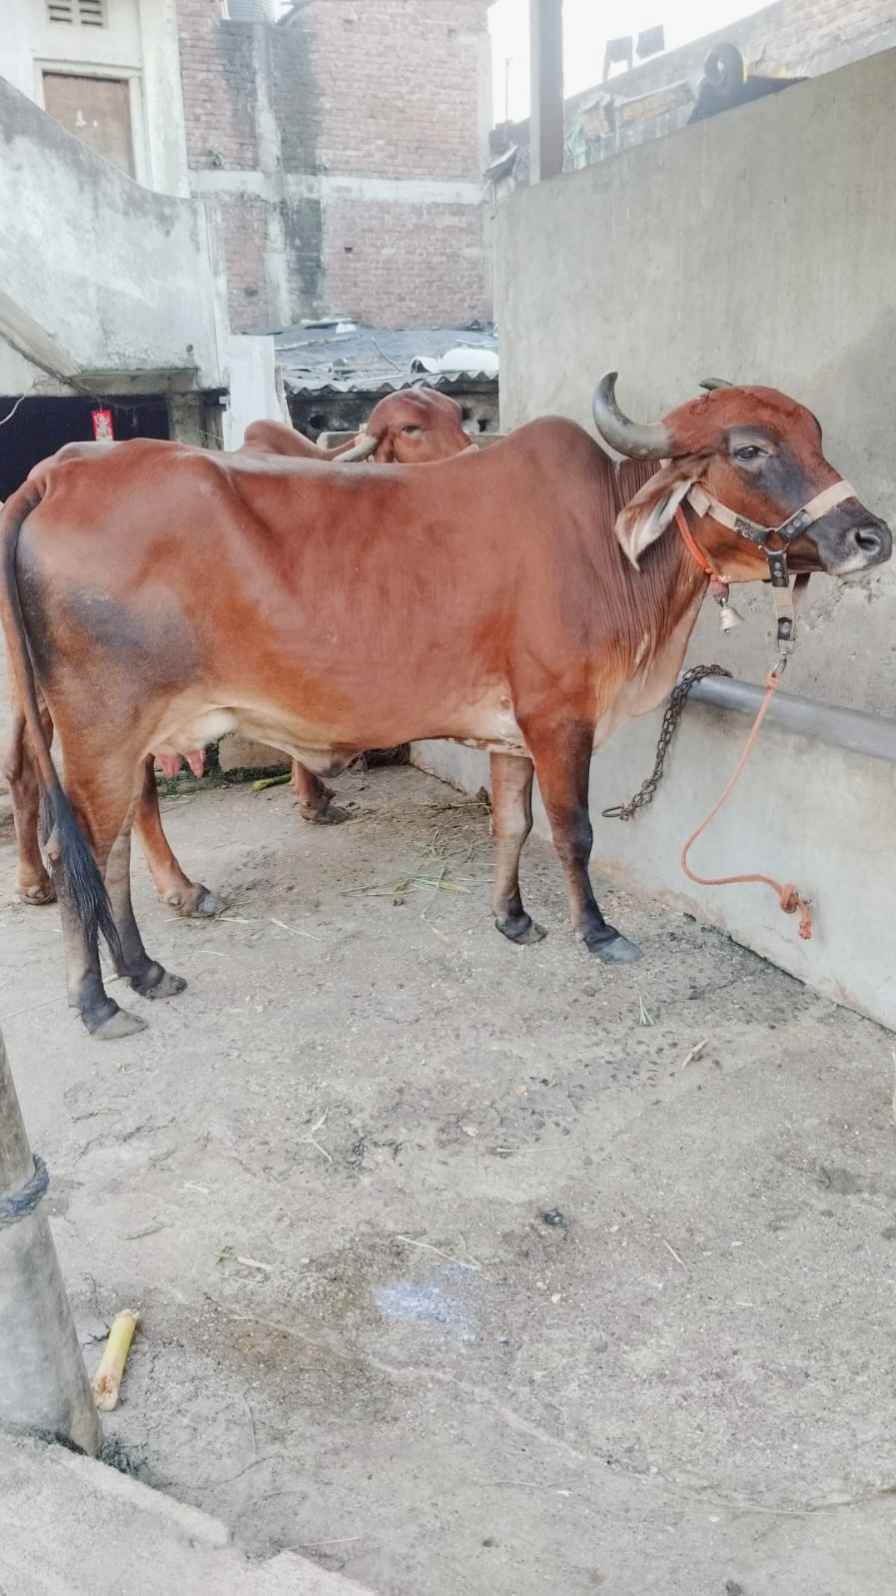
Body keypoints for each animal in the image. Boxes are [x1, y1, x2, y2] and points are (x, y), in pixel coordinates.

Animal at [4, 386, 477, 914]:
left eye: (457, 414)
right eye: (410, 428)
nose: (472, 460)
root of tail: (49, 478)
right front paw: (313, 798)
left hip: (36, 693)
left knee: (22, 769)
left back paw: (33, 881)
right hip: (126, 703)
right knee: (136, 792)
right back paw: (180, 888)